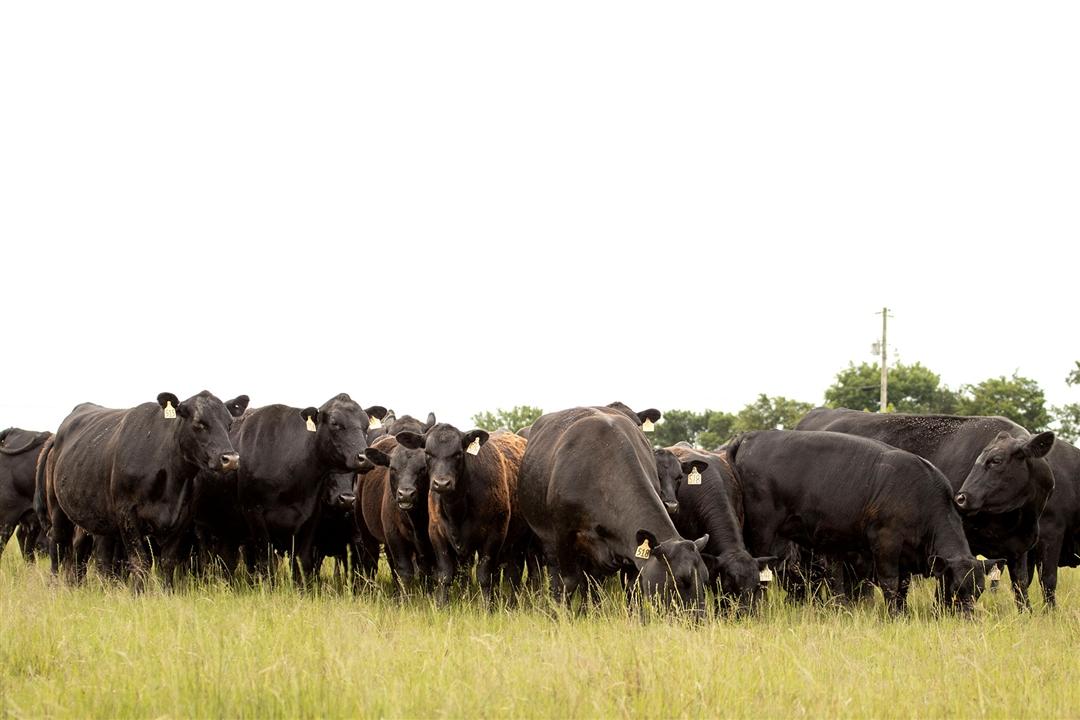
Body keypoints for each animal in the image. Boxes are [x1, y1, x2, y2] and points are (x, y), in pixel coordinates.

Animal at [45, 391, 240, 584]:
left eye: (229, 424)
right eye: (199, 423)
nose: (231, 459)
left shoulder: (183, 518)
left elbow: (168, 562)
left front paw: (167, 591)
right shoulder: (127, 514)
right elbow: (140, 562)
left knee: (80, 548)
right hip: (57, 508)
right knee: (57, 545)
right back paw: (54, 585)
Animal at [232, 394, 385, 584]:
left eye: (366, 426)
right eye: (335, 423)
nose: (365, 458)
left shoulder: (309, 519)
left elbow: (302, 564)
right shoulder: (254, 514)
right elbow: (265, 562)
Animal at [395, 424, 526, 605]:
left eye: (458, 453)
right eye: (428, 453)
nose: (441, 483)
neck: (457, 510)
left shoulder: (495, 534)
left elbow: (484, 575)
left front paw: (487, 606)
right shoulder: (437, 534)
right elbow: (445, 575)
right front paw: (441, 604)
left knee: (513, 573)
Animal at [517, 405, 710, 614]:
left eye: (705, 578)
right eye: (680, 580)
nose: (697, 618)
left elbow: (631, 586)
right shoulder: (563, 534)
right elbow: (568, 581)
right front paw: (561, 616)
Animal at [795, 407, 1054, 610]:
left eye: (996, 461)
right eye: (978, 461)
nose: (961, 498)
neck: (1015, 518)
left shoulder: (1019, 548)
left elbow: (1021, 585)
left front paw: (1026, 615)